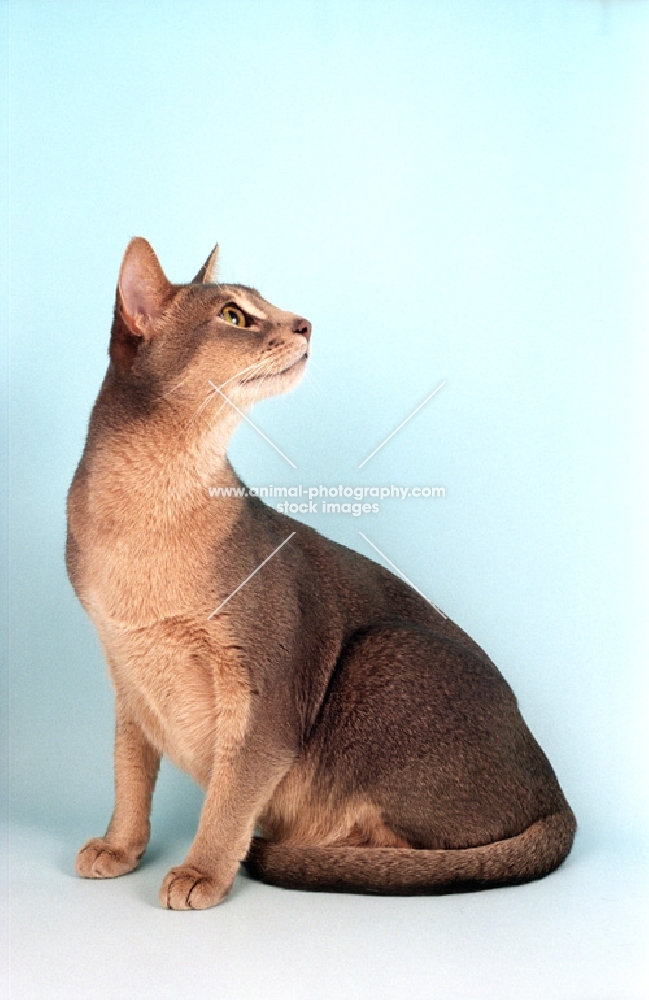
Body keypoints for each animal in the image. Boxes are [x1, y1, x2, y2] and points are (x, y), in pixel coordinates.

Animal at [68, 240, 576, 908]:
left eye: (263, 305)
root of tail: (557, 798)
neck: (145, 513)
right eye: (233, 316)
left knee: (434, 854)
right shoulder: (126, 676)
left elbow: (229, 798)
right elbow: (129, 775)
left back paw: (324, 850)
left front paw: (203, 870)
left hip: (380, 652)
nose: (304, 323)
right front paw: (120, 847)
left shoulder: (266, 695)